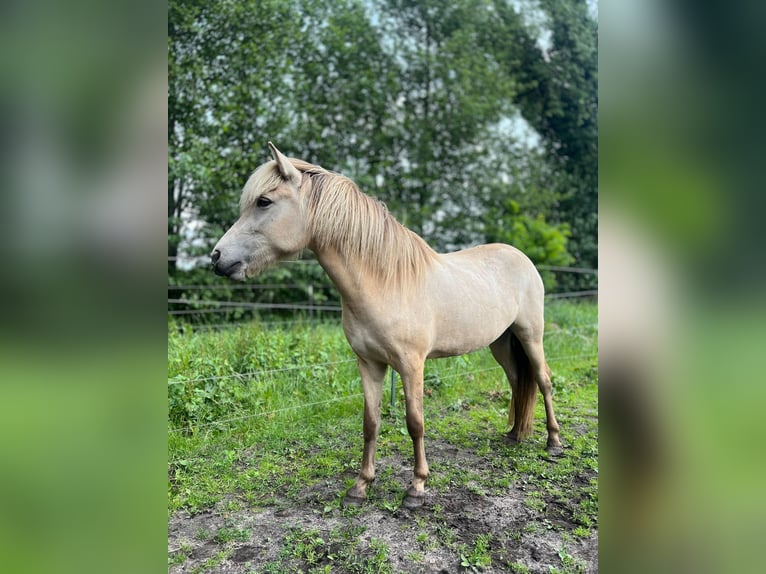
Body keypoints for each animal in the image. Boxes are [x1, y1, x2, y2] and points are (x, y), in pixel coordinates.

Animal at [211, 142, 562, 508]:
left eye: (264, 202)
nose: (216, 257)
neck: (385, 283)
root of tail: (521, 257)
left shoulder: (411, 365)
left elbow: (415, 422)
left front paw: (417, 487)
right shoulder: (369, 363)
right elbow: (371, 422)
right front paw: (361, 485)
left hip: (530, 336)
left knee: (543, 380)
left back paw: (553, 442)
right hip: (501, 343)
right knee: (518, 381)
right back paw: (515, 434)